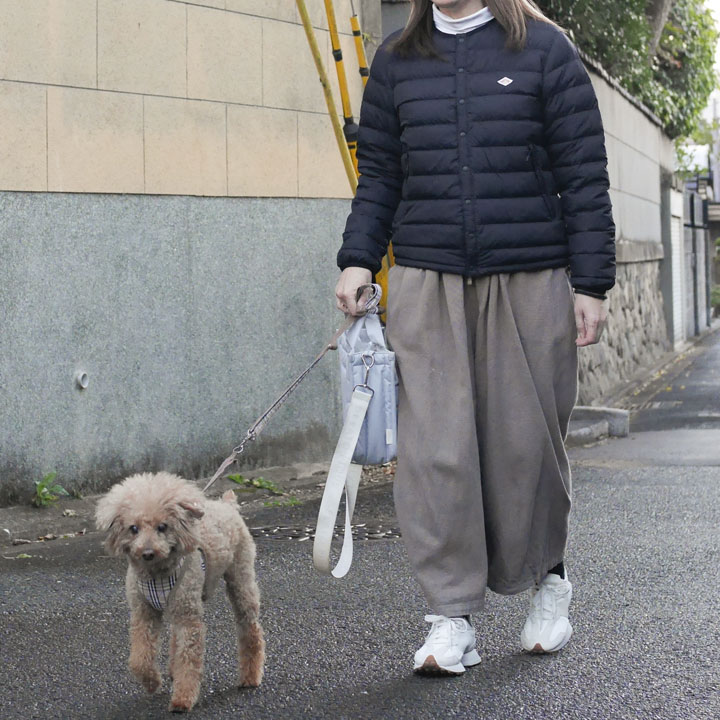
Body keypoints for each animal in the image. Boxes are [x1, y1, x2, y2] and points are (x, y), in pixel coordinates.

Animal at [95, 472, 265, 713]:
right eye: (133, 528)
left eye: (163, 527)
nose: (147, 552)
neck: (156, 574)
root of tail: (227, 504)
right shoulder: (143, 613)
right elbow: (139, 659)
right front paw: (151, 682)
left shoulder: (188, 618)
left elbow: (189, 659)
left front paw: (182, 699)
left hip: (240, 578)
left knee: (250, 628)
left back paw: (250, 677)